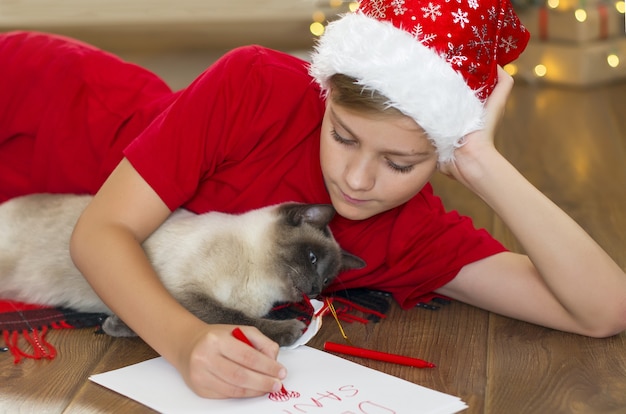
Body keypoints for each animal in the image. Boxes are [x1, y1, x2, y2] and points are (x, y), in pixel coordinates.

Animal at [0, 194, 366, 346]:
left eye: (328, 279)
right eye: (312, 258)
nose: (316, 290)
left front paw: (113, 326)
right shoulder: (185, 292)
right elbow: (232, 318)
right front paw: (289, 329)